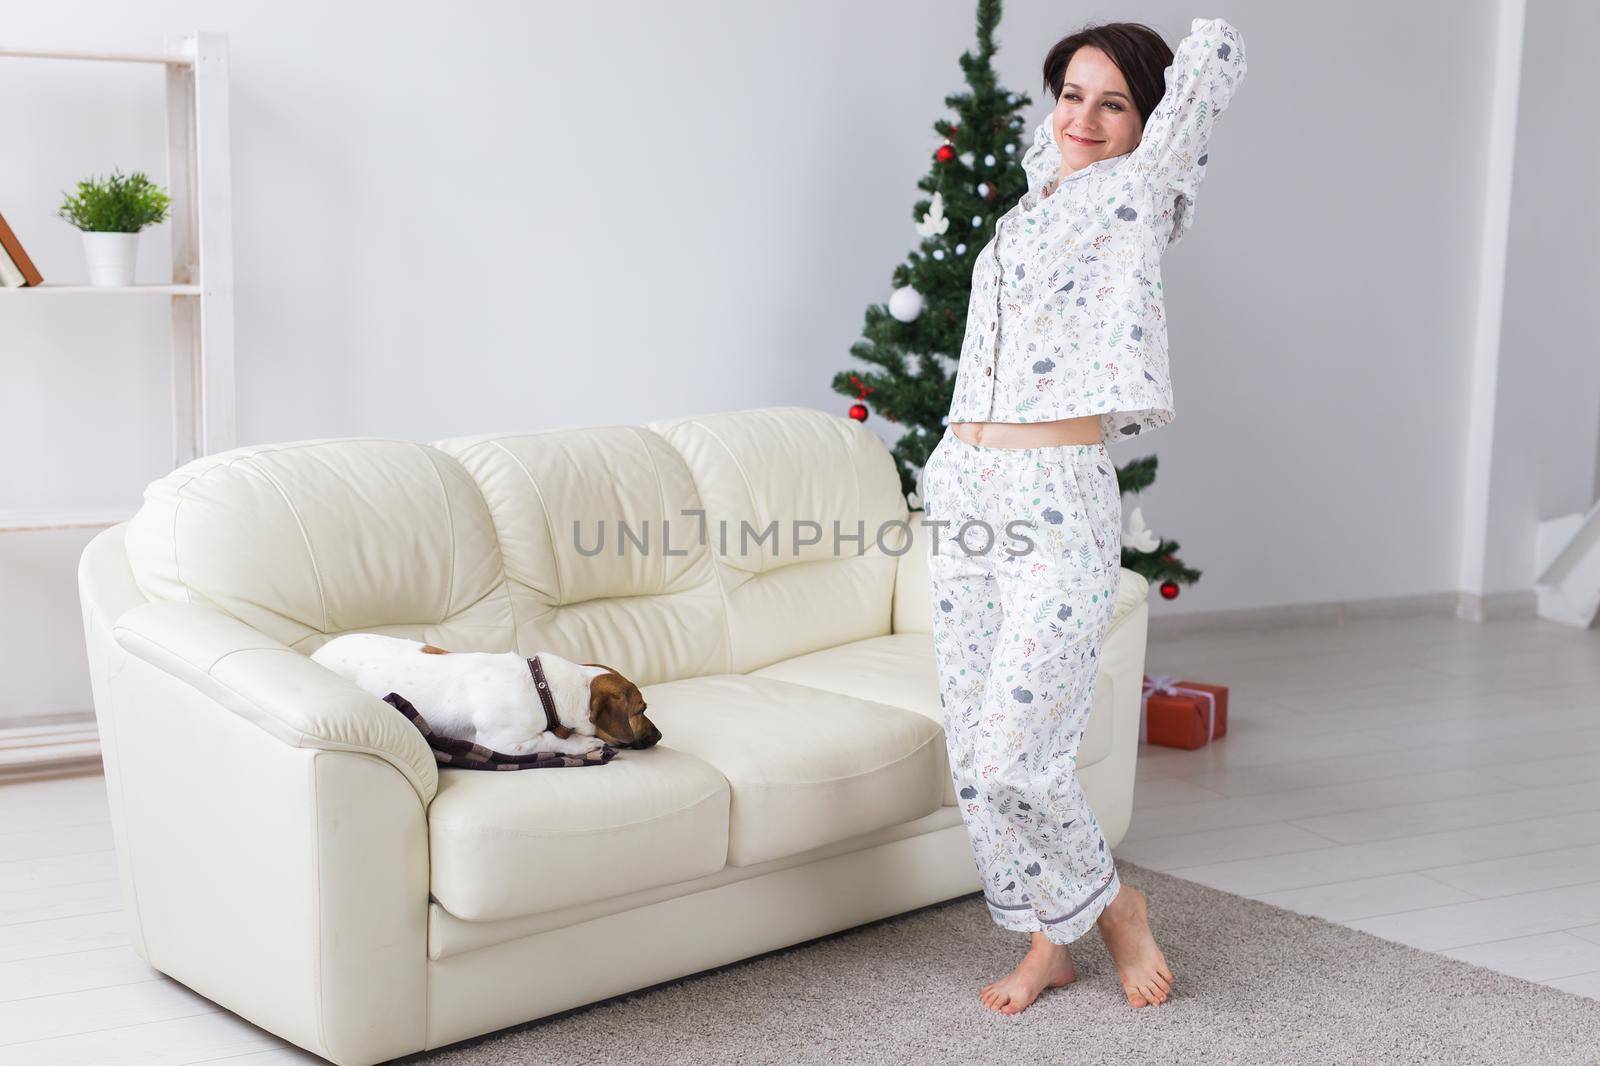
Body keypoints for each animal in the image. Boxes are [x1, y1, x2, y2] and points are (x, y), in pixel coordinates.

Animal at [308, 630, 659, 755]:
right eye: (641, 710)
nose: (659, 736)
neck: (541, 686)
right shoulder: (500, 742)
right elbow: (547, 740)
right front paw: (580, 743)